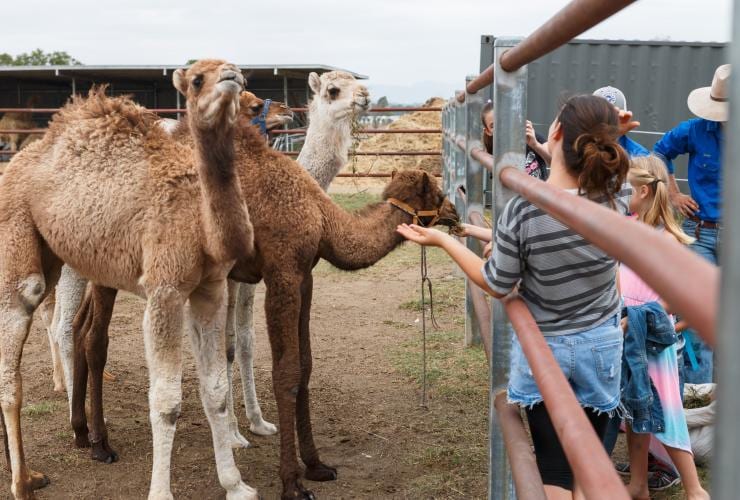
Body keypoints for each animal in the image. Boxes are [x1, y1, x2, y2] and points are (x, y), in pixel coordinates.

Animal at [0, 61, 258, 500]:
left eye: (240, 78)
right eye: (196, 80)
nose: (231, 75)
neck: (200, 222)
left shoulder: (210, 289)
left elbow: (216, 392)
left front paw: (236, 484)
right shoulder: (164, 291)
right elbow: (167, 402)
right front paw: (161, 492)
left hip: (53, 254)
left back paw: (27, 472)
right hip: (18, 242)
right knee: (15, 354)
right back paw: (23, 483)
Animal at [68, 99, 456, 498]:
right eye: (439, 195)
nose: (454, 213)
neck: (321, 216)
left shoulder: (305, 275)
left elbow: (306, 364)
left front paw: (317, 465)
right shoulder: (281, 271)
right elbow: (285, 371)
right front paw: (292, 482)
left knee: (78, 327)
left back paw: (81, 432)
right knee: (95, 338)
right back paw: (101, 444)